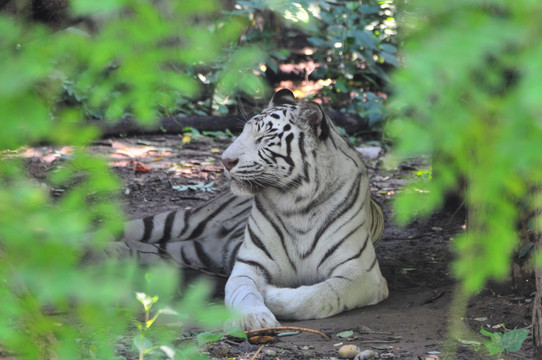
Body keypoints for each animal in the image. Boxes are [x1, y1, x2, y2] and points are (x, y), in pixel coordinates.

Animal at [117, 89, 388, 330]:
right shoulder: (249, 264)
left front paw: (273, 297)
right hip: (184, 220)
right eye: (242, 133)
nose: (225, 161)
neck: (297, 204)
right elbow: (243, 293)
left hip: (195, 250)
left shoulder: (360, 272)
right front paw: (253, 319)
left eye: (264, 138)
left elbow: (318, 296)